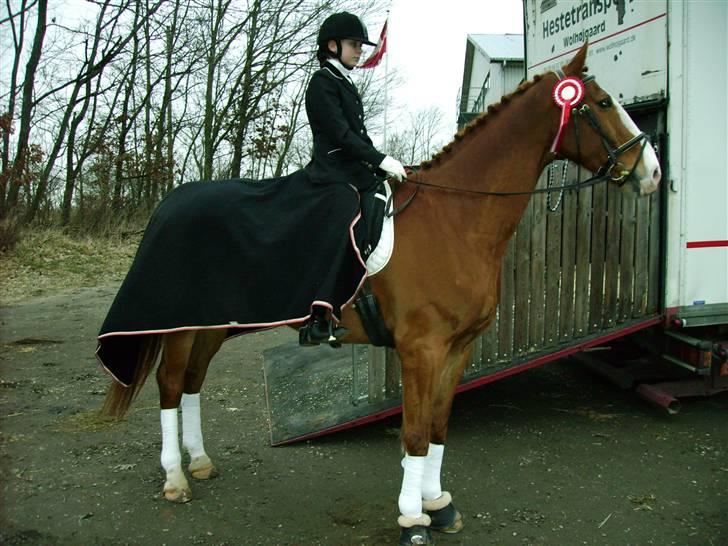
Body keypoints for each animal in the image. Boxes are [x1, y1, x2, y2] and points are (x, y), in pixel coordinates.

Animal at [99, 43, 664, 544]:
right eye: (604, 103)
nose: (653, 172)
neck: (455, 219)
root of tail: (171, 203)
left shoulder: (458, 349)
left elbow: (437, 427)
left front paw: (439, 505)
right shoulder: (421, 349)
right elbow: (413, 433)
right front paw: (413, 521)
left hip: (213, 325)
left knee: (193, 382)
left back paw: (199, 462)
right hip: (180, 325)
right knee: (171, 385)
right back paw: (175, 478)